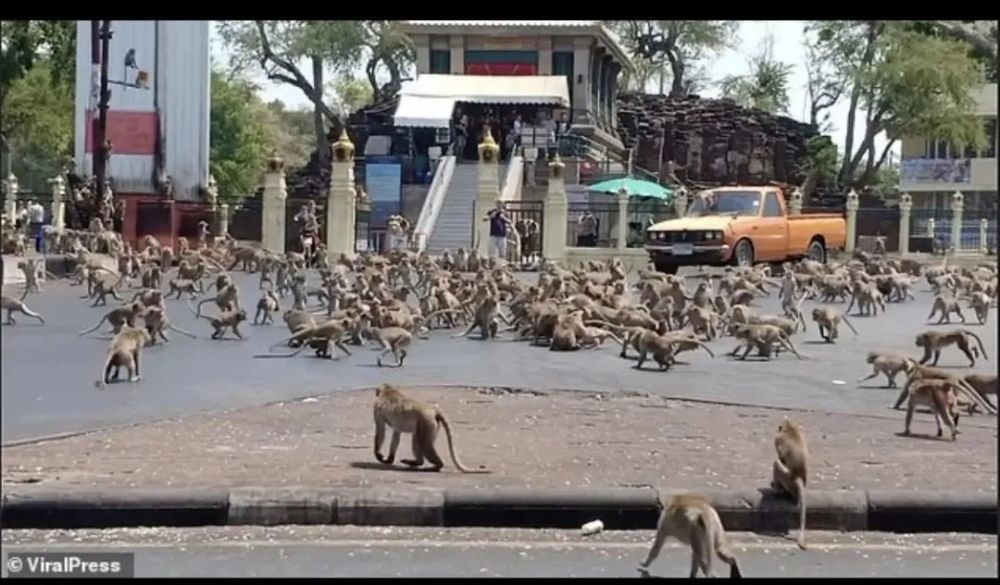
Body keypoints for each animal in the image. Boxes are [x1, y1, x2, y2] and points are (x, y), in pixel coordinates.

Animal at [768, 418, 808, 548]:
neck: (790, 427)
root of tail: (798, 477)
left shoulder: (777, 439)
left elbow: (780, 457)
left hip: (787, 478)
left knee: (777, 463)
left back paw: (776, 489)